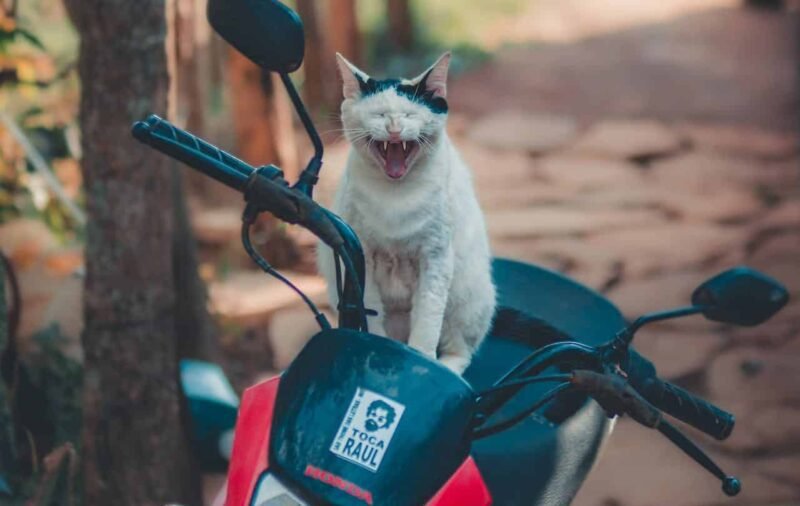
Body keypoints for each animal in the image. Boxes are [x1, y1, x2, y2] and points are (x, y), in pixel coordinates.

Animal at [318, 51, 494, 374]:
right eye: (378, 115)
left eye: (410, 115)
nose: (394, 128)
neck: (396, 197)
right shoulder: (362, 261)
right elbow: (370, 319)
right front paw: (374, 353)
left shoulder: (435, 258)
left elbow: (426, 325)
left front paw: (421, 363)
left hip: (465, 300)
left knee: (460, 349)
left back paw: (448, 367)